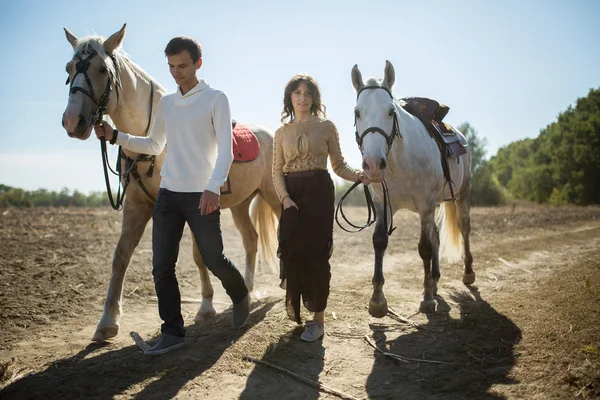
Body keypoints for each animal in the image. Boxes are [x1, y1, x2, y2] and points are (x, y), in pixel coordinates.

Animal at [61, 25, 282, 342]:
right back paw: (248, 291)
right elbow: (120, 257)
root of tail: (269, 135)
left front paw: (205, 307)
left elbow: (198, 256)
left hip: (273, 196)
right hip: (240, 204)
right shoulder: (138, 206)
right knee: (251, 240)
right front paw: (107, 321)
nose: (72, 122)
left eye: (102, 68)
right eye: (68, 69)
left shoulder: (193, 208)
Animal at [352, 61, 474, 318]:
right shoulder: (383, 204)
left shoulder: (425, 203)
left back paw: (468, 272)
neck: (399, 159)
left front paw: (427, 300)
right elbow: (380, 241)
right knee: (436, 235)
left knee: (464, 228)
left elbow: (424, 248)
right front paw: (377, 300)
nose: (374, 164)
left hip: (461, 195)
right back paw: (435, 280)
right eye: (357, 112)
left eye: (391, 111)